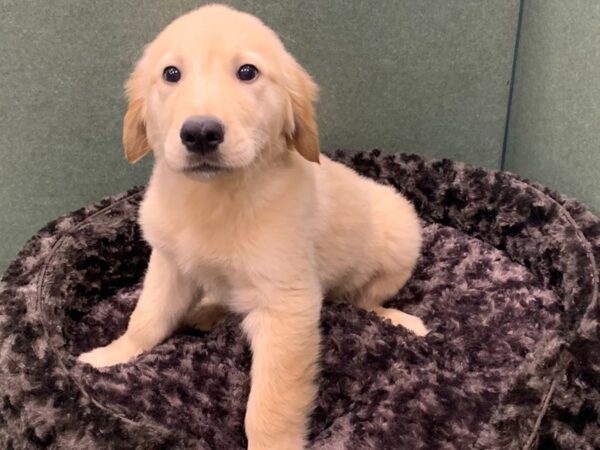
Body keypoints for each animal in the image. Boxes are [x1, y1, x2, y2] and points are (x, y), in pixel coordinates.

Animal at [79, 5, 426, 448]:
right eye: (171, 73)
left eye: (247, 72)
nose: (200, 133)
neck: (215, 196)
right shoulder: (168, 264)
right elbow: (147, 317)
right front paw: (111, 354)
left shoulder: (286, 307)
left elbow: (271, 405)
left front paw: (272, 443)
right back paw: (206, 311)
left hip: (399, 238)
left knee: (365, 302)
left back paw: (400, 320)